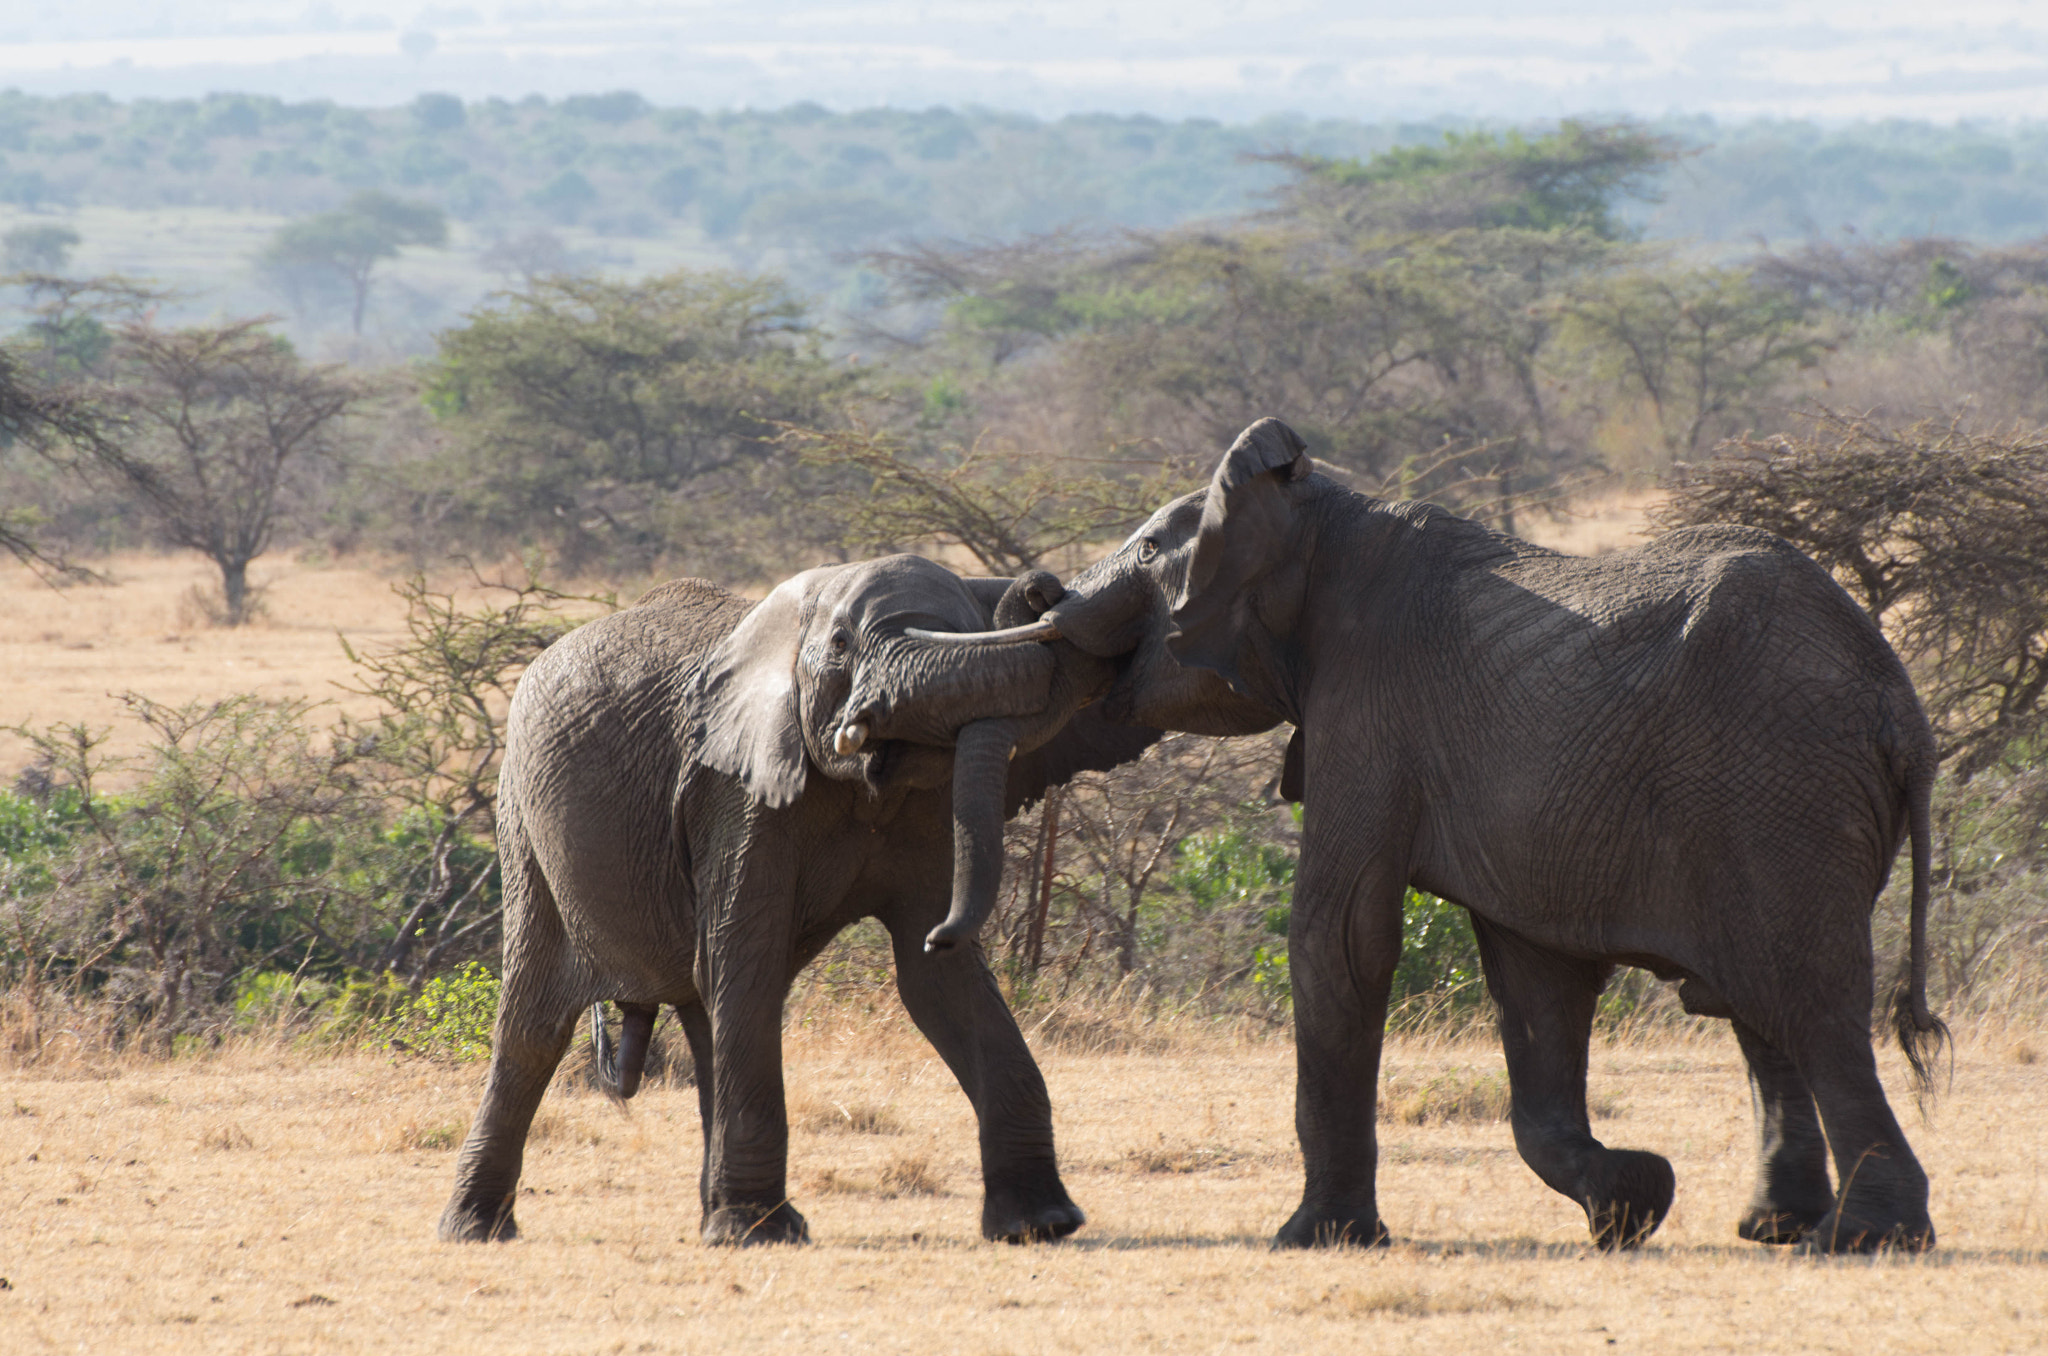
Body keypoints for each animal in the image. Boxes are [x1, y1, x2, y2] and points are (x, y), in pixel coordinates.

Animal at [440, 557, 1163, 1253]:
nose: (1042, 590)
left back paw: (713, 1214)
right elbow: (750, 957)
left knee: (706, 1010)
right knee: (537, 1024)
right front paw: (760, 1235)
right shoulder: (735, 794)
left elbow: (934, 983)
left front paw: (1041, 1225)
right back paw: (477, 1229)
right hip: (521, 819)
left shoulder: (922, 808)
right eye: (842, 644)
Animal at [937, 419, 1941, 1261]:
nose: (1038, 588)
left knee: (1809, 1002)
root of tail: (1899, 704)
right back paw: (1777, 1227)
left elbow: (1340, 935)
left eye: (1150, 550)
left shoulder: (1368, 704)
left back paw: (1863, 1239)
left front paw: (1314, 1241)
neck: (1320, 513)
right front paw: (1632, 1200)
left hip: (1780, 795)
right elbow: (1535, 980)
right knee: (1760, 1010)